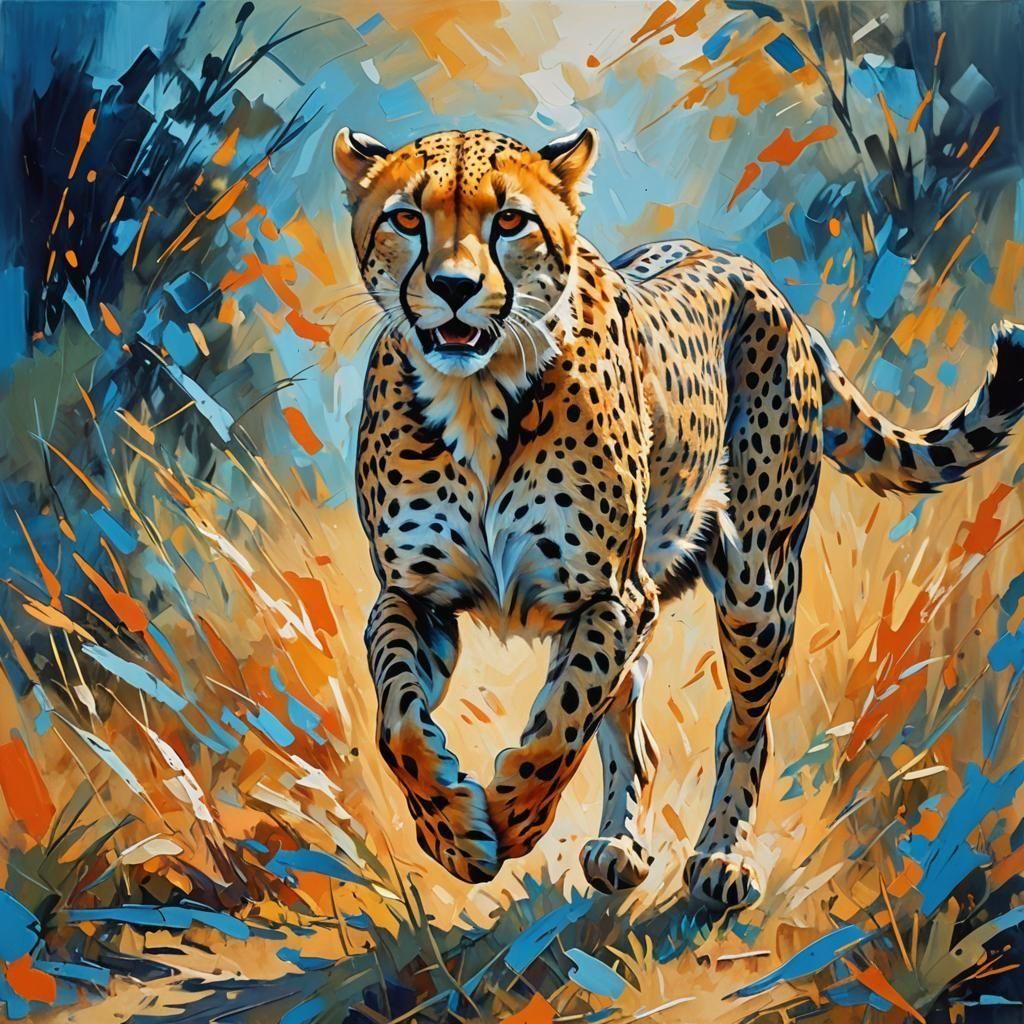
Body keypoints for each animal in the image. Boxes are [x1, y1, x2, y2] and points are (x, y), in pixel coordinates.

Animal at [333, 124, 1024, 910]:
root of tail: (750, 272)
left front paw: (509, 818)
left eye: (509, 221)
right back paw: (619, 848)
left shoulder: (612, 597)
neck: (479, 397)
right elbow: (398, 719)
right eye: (406, 219)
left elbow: (561, 721)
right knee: (635, 741)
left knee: (744, 730)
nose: (454, 288)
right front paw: (453, 829)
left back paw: (723, 858)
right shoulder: (413, 597)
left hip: (759, 592)